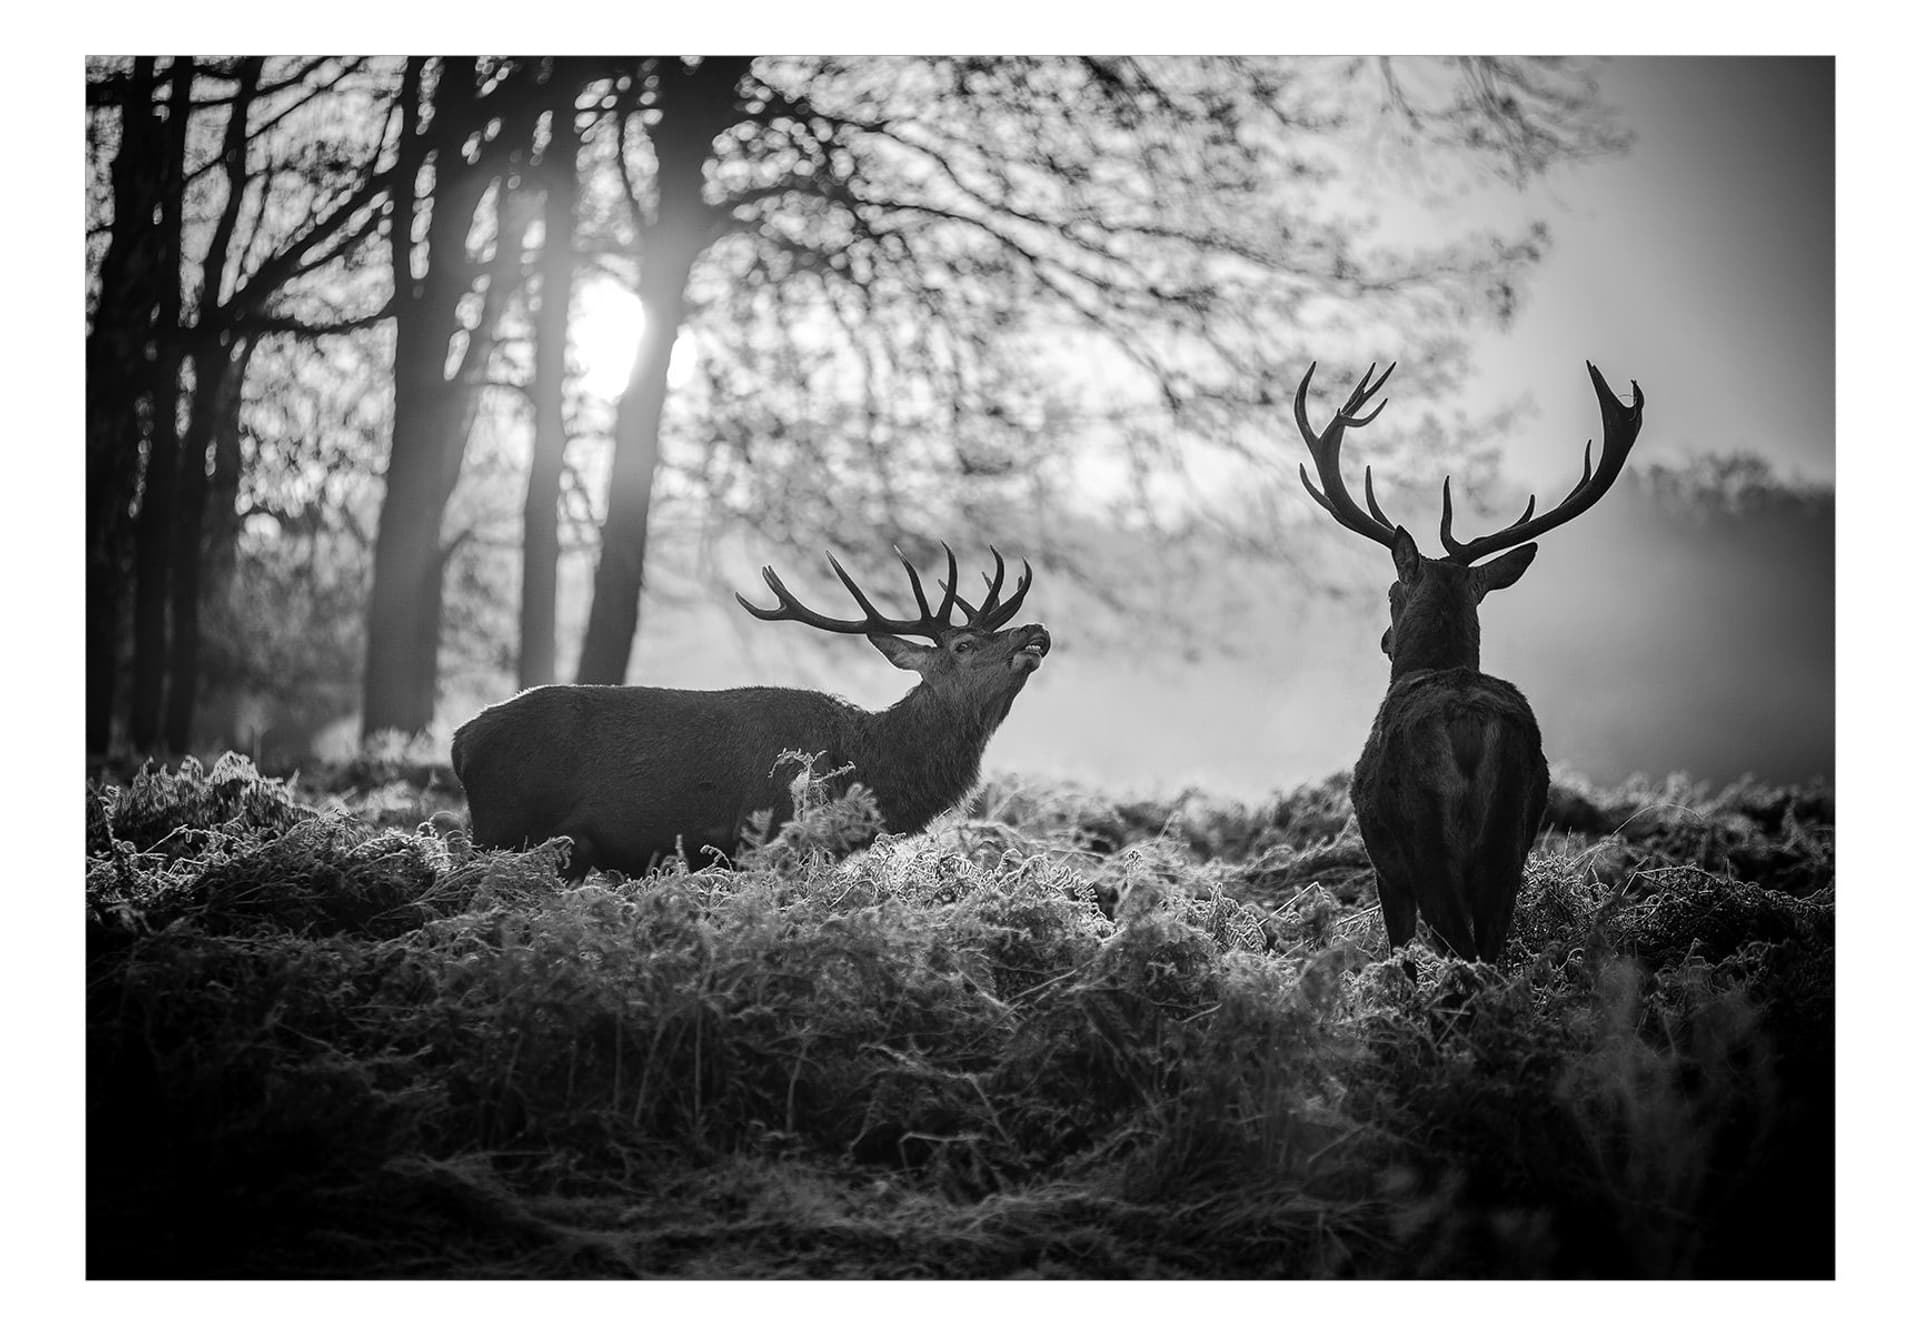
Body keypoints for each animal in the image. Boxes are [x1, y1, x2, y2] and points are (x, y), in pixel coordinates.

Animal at [449, 541, 1052, 875]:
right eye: (964, 645)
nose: (1036, 631)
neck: (866, 766)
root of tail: (460, 742)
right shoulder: (767, 837)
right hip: (501, 828)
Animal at [1282, 360, 1643, 963]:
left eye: (1391, 592)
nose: (1385, 639)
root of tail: (1471, 727)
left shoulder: (1386, 869)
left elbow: (1400, 956)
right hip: (1511, 838)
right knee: (1491, 946)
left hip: (1425, 839)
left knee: (1461, 947)